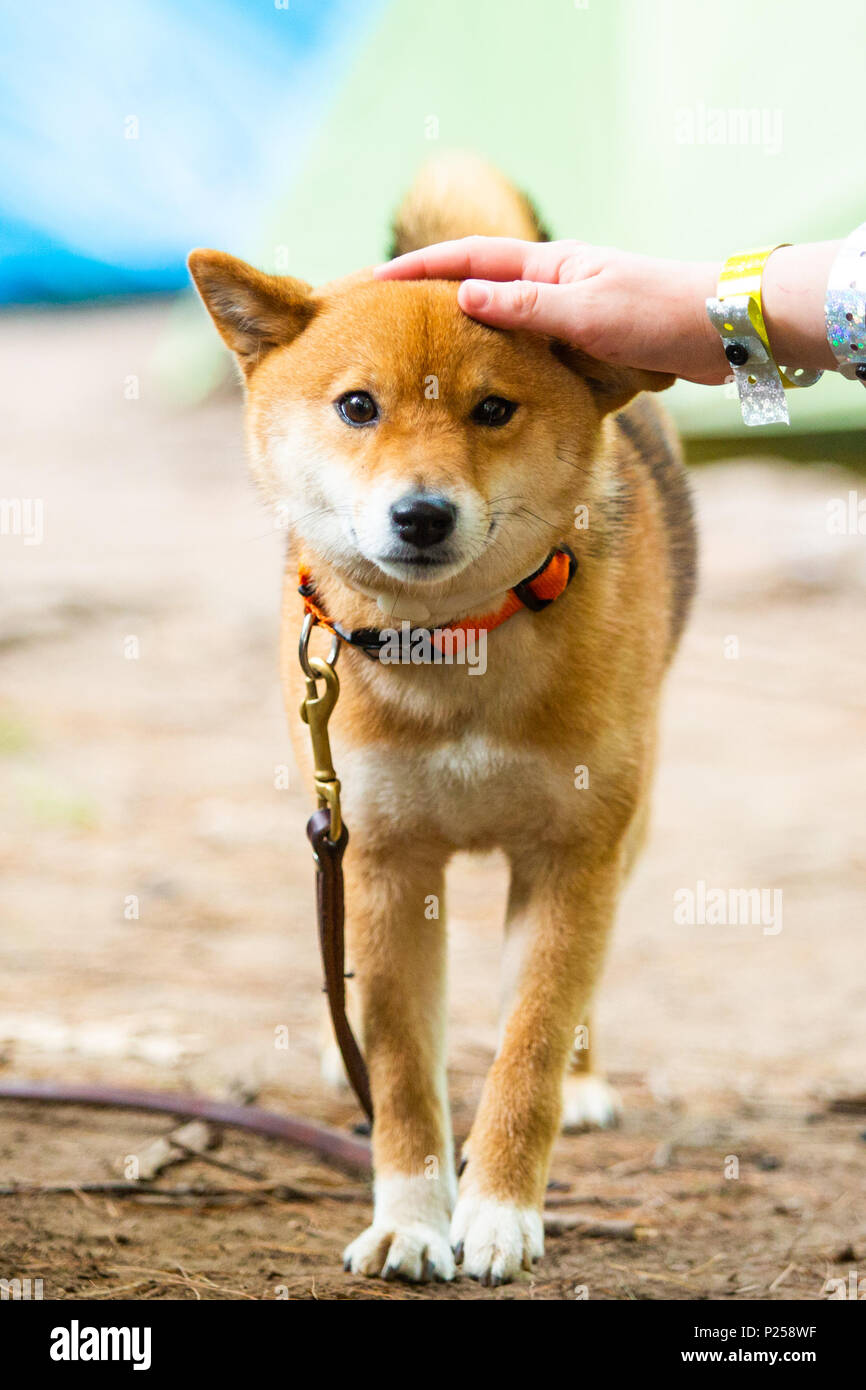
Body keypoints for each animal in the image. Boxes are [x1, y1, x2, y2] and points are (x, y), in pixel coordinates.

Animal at [189, 149, 697, 1278]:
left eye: (493, 411)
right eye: (357, 406)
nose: (420, 515)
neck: (455, 647)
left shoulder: (570, 857)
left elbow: (527, 1049)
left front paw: (500, 1209)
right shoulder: (381, 863)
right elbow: (403, 1075)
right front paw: (412, 1218)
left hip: (627, 829)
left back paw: (586, 1081)